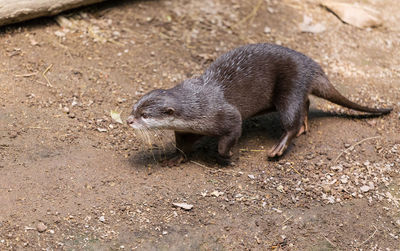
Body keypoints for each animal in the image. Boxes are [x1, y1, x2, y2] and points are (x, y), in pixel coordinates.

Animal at [126, 43, 392, 165]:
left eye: (145, 115)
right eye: (134, 107)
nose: (128, 120)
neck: (198, 105)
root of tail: (312, 66)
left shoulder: (227, 116)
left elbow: (228, 137)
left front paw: (227, 157)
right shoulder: (185, 130)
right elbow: (182, 145)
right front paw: (176, 158)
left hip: (291, 85)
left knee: (291, 119)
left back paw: (279, 148)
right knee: (305, 102)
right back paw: (305, 125)